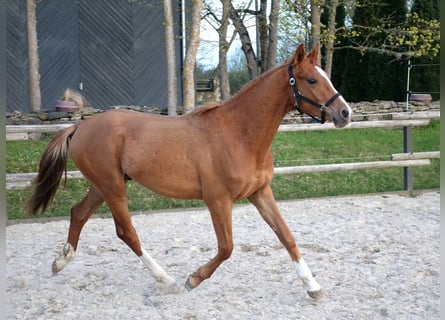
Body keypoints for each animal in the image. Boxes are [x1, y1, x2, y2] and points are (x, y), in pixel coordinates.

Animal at [29, 41, 352, 298]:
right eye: (311, 80)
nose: (345, 113)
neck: (239, 134)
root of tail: (79, 126)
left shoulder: (260, 192)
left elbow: (287, 236)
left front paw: (313, 287)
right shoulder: (218, 200)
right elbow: (227, 247)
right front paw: (193, 279)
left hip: (104, 185)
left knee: (78, 213)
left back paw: (60, 262)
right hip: (113, 187)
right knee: (126, 232)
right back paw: (166, 280)